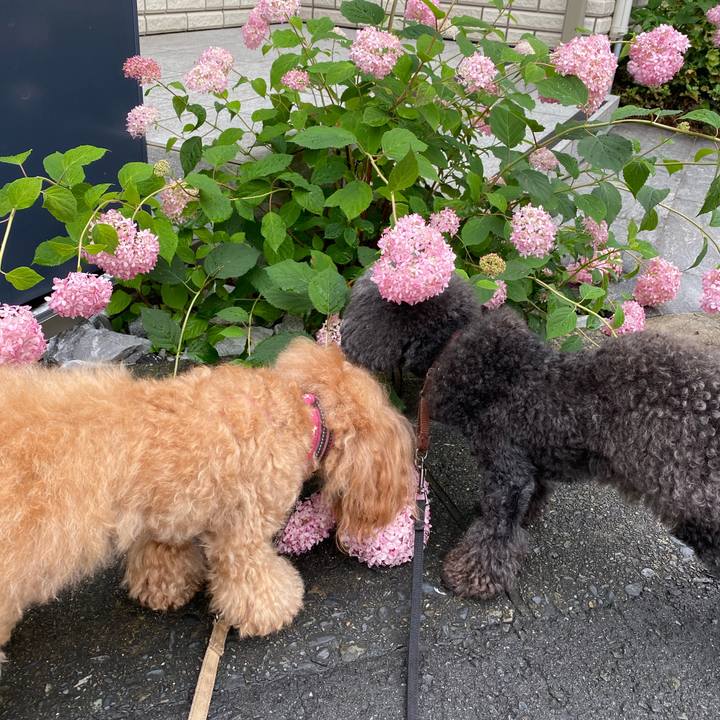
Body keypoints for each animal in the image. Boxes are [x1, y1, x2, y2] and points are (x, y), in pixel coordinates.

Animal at [0, 338, 415, 663]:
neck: (302, 410)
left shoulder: (171, 513)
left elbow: (162, 558)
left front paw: (163, 589)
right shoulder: (244, 530)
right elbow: (252, 580)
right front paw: (276, 609)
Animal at [342, 273, 720, 598]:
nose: (343, 338)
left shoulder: (507, 469)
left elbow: (496, 531)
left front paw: (473, 577)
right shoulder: (527, 463)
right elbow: (525, 500)